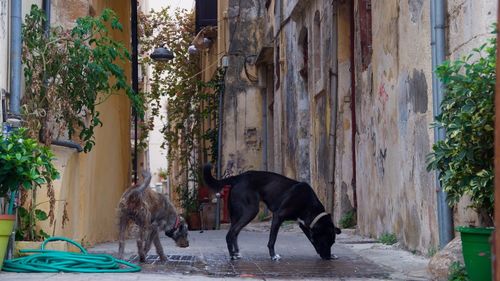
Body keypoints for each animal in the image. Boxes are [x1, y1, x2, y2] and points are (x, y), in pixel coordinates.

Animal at [202, 163, 340, 260]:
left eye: (332, 242)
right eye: (325, 241)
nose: (328, 257)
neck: (308, 203)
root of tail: (238, 177)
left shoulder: (303, 224)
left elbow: (311, 240)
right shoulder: (278, 216)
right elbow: (272, 239)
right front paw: (273, 256)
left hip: (236, 214)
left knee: (235, 232)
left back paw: (236, 253)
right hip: (250, 211)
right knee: (231, 233)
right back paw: (232, 255)